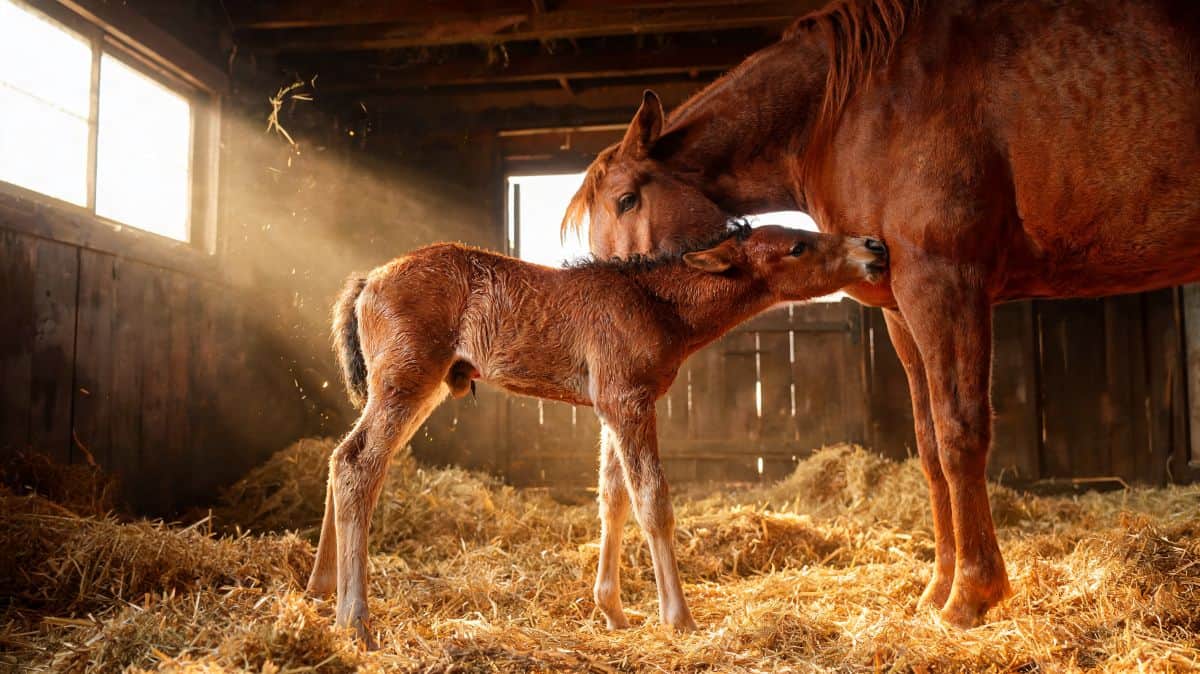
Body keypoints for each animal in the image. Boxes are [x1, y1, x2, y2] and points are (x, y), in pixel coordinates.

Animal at [307, 224, 888, 643]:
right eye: (798, 245)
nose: (874, 246)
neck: (655, 303)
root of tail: (368, 282)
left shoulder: (611, 405)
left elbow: (613, 498)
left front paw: (613, 611)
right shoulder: (627, 400)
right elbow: (652, 499)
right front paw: (679, 618)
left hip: (420, 387)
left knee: (340, 457)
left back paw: (319, 590)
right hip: (407, 382)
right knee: (359, 463)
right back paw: (355, 619)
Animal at [562, 0, 1200, 628]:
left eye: (626, 200)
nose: (612, 301)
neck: (844, 110)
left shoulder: (943, 283)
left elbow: (960, 432)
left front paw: (971, 596)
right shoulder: (902, 309)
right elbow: (929, 446)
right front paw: (937, 589)